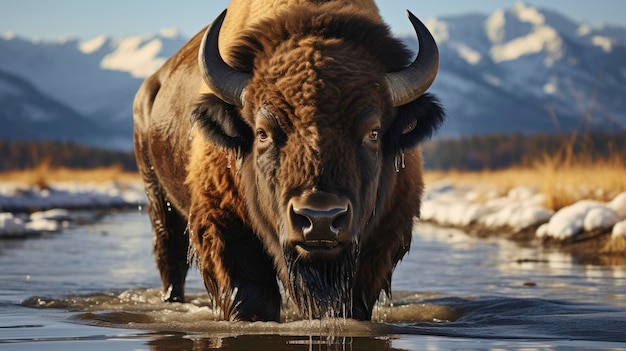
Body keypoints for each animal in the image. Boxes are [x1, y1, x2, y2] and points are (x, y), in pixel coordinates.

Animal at [132, 0, 444, 324]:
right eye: (262, 132)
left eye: (373, 132)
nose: (320, 219)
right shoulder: (224, 226)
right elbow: (251, 296)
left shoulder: (382, 238)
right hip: (157, 197)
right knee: (170, 257)